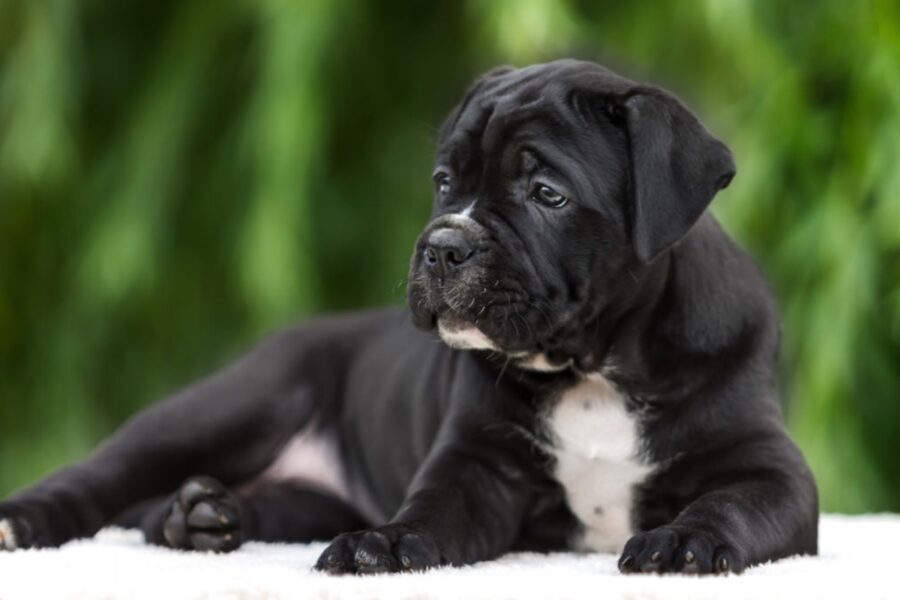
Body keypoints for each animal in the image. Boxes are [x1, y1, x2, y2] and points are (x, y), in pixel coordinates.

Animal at [0, 58, 816, 576]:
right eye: (444, 180)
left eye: (547, 193)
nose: (443, 246)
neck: (593, 367)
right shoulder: (475, 467)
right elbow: (430, 510)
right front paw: (386, 545)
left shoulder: (771, 471)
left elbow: (733, 504)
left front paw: (683, 542)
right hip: (226, 405)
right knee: (101, 476)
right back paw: (34, 520)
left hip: (299, 495)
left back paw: (199, 516)